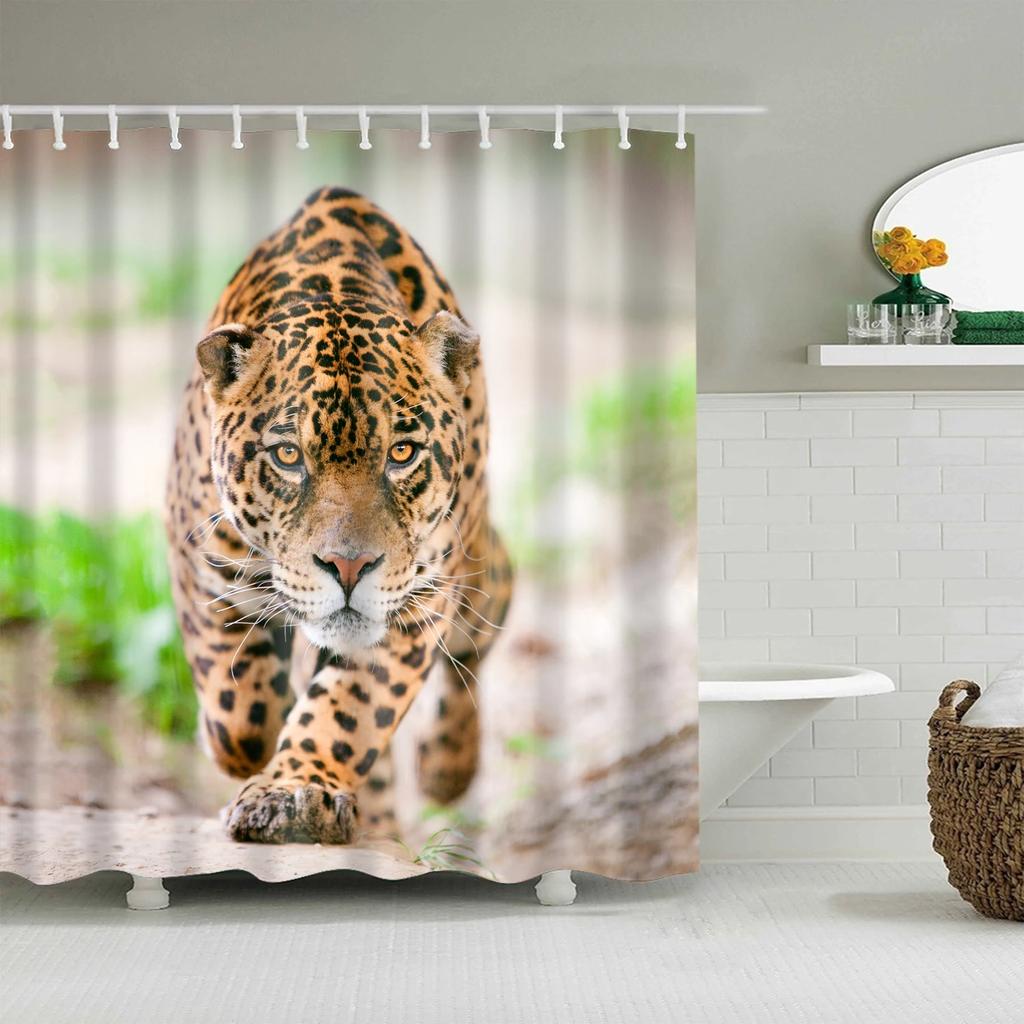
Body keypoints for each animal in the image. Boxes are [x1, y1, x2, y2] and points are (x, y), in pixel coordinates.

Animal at [165, 186, 513, 844]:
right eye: (288, 456)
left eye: (401, 453)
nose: (348, 568)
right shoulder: (200, 556)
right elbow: (237, 711)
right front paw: (248, 749)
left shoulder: (416, 599)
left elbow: (348, 712)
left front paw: (293, 791)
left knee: (488, 612)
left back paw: (445, 768)